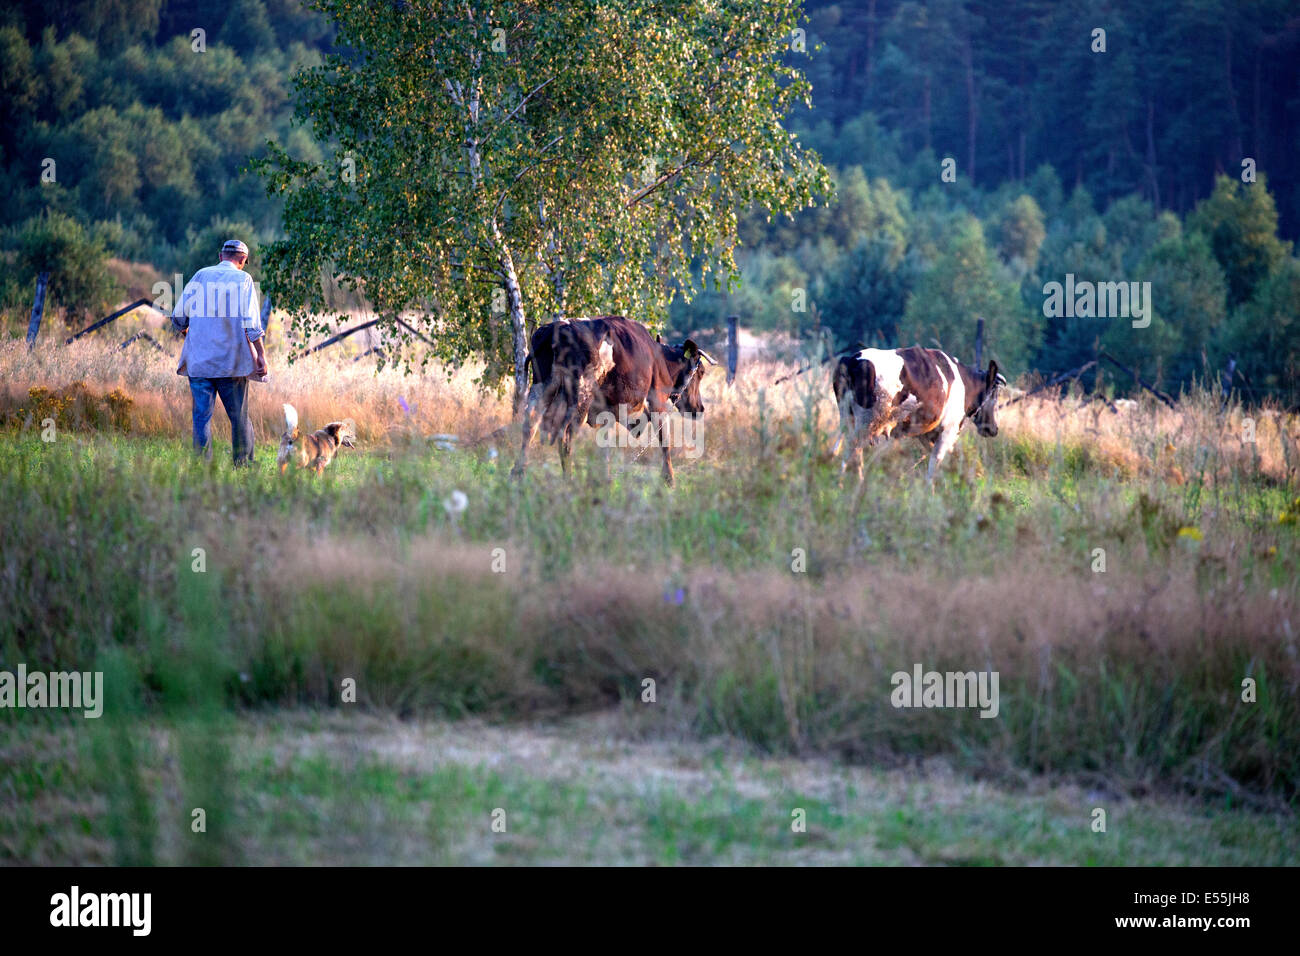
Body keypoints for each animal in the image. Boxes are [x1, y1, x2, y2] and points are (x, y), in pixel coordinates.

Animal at [509, 316, 717, 486]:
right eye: (700, 372)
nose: (699, 408)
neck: (660, 359)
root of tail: (557, 326)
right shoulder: (656, 400)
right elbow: (664, 440)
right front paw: (669, 479)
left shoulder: (606, 409)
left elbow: (605, 444)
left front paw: (605, 478)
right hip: (581, 394)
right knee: (566, 434)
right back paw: (568, 479)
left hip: (542, 386)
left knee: (530, 424)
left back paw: (518, 473)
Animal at [832, 345, 1003, 486]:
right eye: (995, 393)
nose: (994, 429)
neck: (964, 383)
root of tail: (852, 360)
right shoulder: (948, 430)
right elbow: (934, 465)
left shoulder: (925, 433)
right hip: (866, 424)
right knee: (852, 451)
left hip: (847, 419)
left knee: (843, 448)